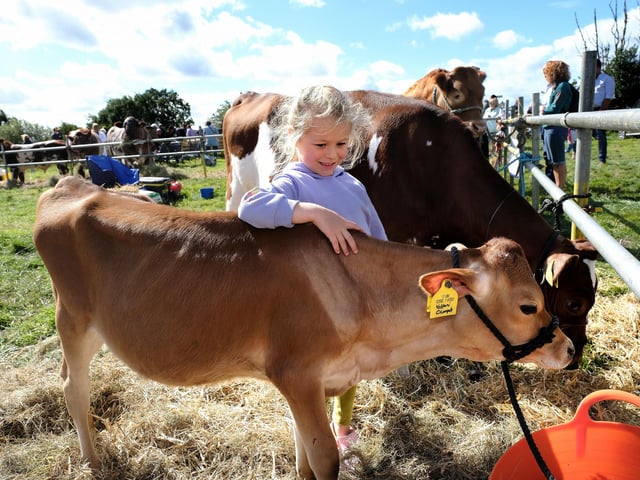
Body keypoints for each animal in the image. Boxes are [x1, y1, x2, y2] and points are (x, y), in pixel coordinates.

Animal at [33, 176, 574, 480]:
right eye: (528, 305)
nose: (568, 348)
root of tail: (72, 186)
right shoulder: (297, 374)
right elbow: (325, 460)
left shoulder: (305, 384)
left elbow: (303, 457)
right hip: (73, 321)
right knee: (73, 387)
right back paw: (93, 463)